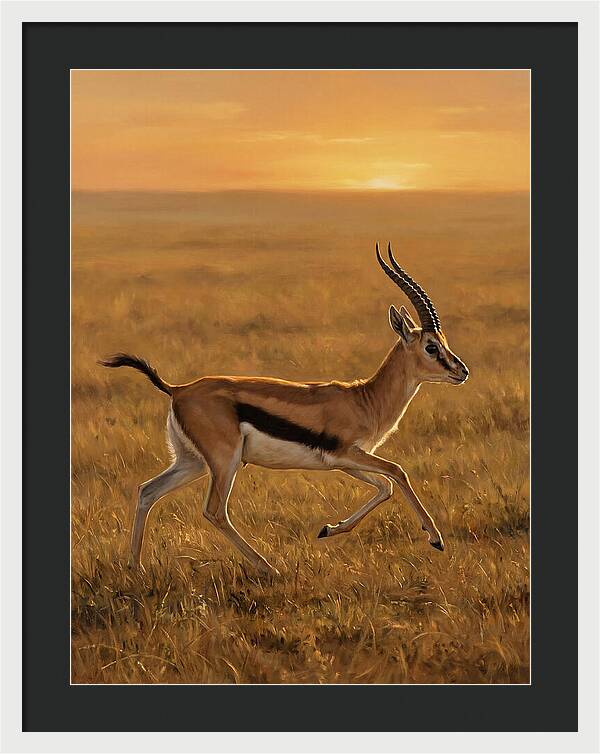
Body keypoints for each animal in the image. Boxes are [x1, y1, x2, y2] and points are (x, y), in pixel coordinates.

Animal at [100, 244, 469, 576]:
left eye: (444, 342)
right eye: (431, 347)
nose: (462, 371)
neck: (365, 399)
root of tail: (178, 389)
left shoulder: (344, 461)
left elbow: (385, 487)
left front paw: (328, 529)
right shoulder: (348, 453)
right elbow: (397, 472)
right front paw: (436, 539)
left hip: (192, 462)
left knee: (147, 491)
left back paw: (136, 568)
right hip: (224, 461)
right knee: (215, 511)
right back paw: (269, 568)